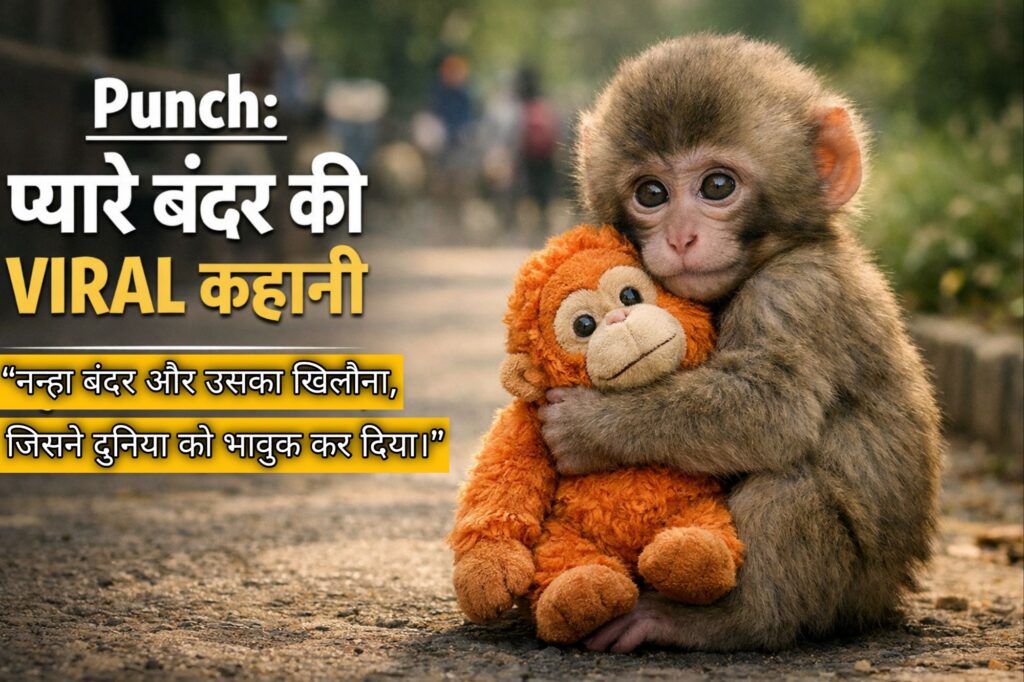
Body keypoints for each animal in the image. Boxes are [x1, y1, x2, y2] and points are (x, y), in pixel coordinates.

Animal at [538, 34, 943, 653]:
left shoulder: (795, 293)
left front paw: (588, 426)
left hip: (849, 587)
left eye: (717, 186)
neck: (778, 253)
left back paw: (722, 619)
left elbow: (773, 407)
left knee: (786, 488)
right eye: (651, 193)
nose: (681, 237)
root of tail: (886, 599)